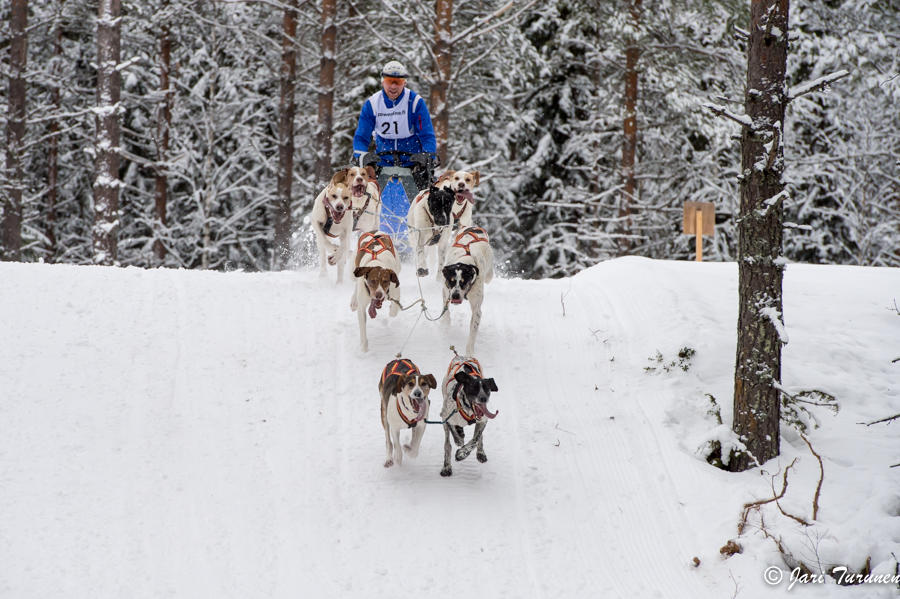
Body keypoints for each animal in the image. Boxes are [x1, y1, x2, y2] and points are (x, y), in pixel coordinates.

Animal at [442, 225, 496, 356]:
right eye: (451, 281)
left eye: (463, 282)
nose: (455, 296)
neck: (465, 260)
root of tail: (474, 227)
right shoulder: (445, 291)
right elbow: (445, 311)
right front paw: (445, 324)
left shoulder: (477, 309)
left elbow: (472, 334)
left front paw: (469, 354)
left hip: (489, 275)